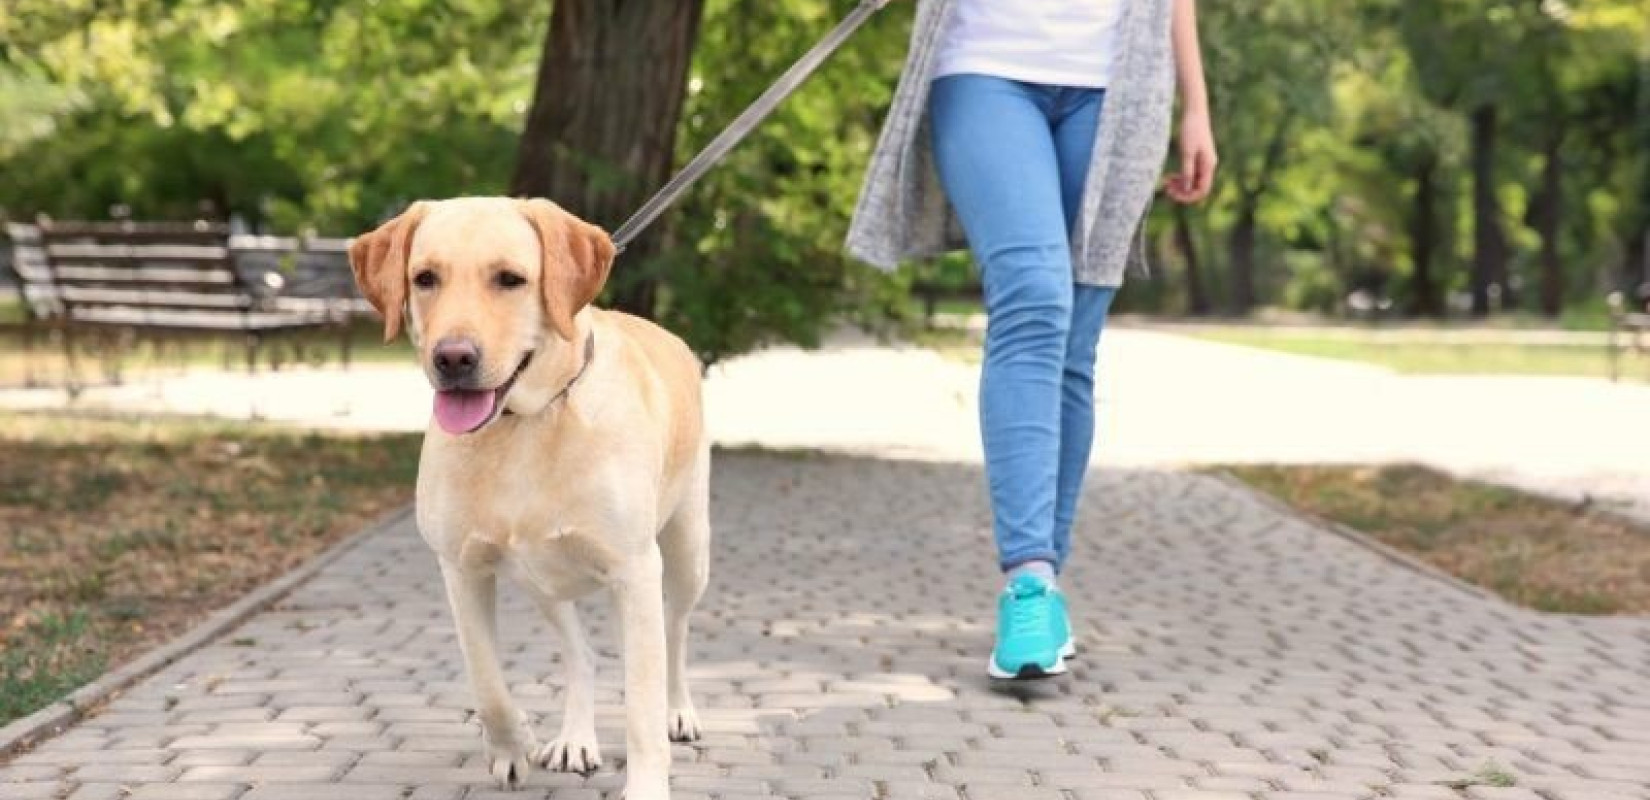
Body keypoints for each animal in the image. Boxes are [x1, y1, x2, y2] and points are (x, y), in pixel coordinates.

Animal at [348, 194, 709, 798]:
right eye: (425, 278)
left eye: (510, 279)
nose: (453, 358)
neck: (525, 424)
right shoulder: (461, 568)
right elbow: (486, 679)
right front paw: (512, 744)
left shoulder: (634, 569)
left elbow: (641, 701)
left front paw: (647, 783)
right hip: (541, 580)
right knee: (582, 653)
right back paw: (575, 738)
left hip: (687, 551)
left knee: (676, 631)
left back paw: (679, 711)